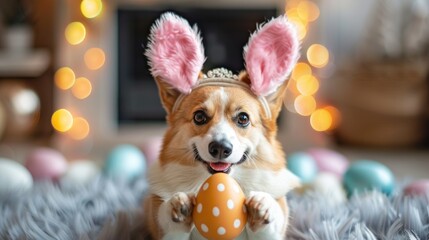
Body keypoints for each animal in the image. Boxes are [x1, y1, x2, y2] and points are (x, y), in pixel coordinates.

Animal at [142, 13, 300, 240]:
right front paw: (176, 205)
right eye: (199, 117)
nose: (220, 148)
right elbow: (167, 220)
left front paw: (264, 206)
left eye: (243, 118)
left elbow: (272, 219)